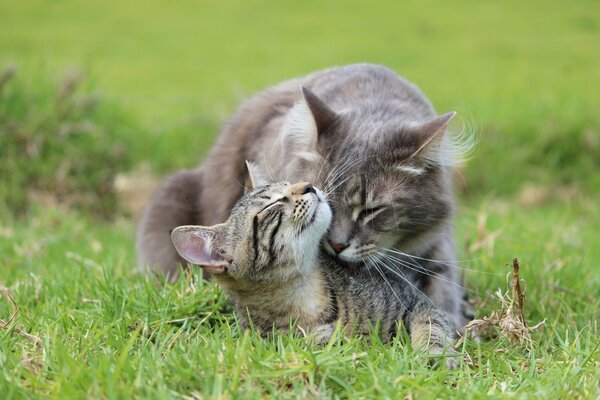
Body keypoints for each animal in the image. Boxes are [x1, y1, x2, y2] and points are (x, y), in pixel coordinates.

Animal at [171, 173, 458, 370]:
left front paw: (434, 355)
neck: (303, 292)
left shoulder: (413, 300)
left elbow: (432, 325)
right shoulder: (263, 339)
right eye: (270, 206)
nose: (308, 185)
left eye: (288, 182)